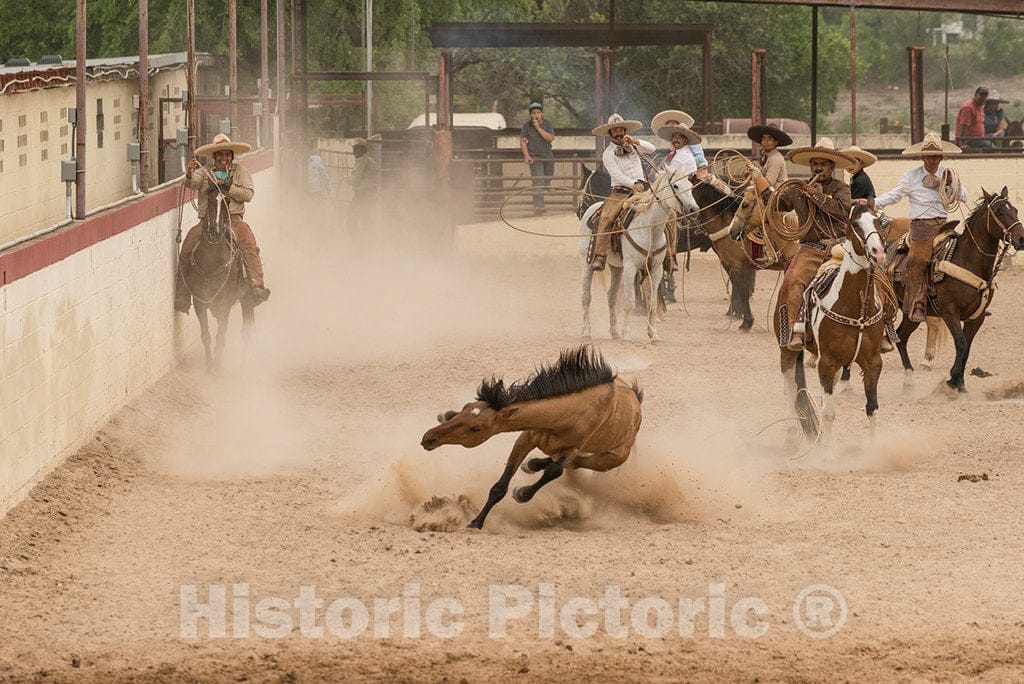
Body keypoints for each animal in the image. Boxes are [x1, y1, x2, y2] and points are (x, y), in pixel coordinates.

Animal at [179, 188, 254, 368]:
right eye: (210, 199)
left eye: (228, 200)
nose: (216, 231)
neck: (211, 261)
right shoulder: (200, 302)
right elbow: (206, 335)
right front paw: (209, 365)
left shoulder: (224, 302)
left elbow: (221, 335)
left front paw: (218, 366)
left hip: (247, 297)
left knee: (247, 331)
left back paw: (245, 363)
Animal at [417, 348, 638, 528]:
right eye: (466, 407)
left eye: (476, 429)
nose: (429, 438)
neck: (567, 415)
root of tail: (637, 403)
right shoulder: (526, 439)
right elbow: (499, 487)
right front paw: (477, 521)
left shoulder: (571, 449)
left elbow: (554, 471)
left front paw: (518, 495)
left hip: (609, 460)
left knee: (578, 462)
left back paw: (533, 465)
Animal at [790, 205, 888, 450]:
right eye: (856, 224)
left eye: (878, 221)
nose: (878, 252)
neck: (855, 306)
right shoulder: (826, 361)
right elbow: (828, 412)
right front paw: (828, 454)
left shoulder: (873, 362)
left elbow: (871, 408)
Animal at [892, 187, 1019, 393]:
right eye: (999, 213)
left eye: (1015, 210)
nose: (1021, 239)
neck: (967, 260)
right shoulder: (949, 312)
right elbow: (960, 343)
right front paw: (952, 381)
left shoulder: (977, 317)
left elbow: (967, 347)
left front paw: (960, 385)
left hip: (911, 312)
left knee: (901, 337)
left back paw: (909, 379)